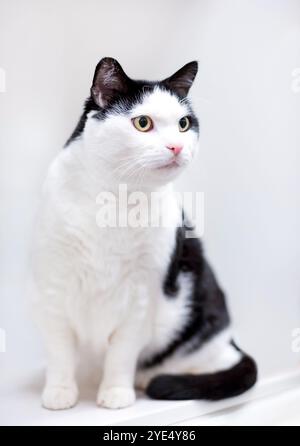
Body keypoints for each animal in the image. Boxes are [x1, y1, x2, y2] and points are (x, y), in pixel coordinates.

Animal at [31, 57, 258, 410]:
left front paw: (115, 392)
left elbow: (121, 352)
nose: (177, 146)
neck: (115, 200)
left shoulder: (141, 295)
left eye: (183, 123)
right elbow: (59, 350)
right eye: (142, 123)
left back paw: (147, 378)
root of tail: (231, 339)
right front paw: (59, 391)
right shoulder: (53, 286)